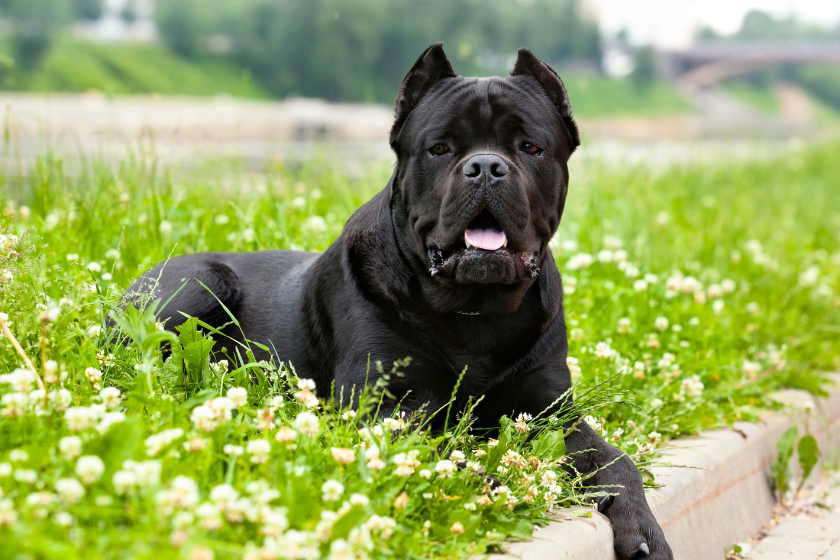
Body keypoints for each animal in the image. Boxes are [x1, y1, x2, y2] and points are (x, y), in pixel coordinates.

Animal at [124, 44, 672, 560]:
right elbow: (432, 448)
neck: (475, 312)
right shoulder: (383, 404)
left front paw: (644, 529)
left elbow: (614, 458)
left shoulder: (551, 411)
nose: (486, 166)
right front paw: (480, 484)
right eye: (439, 148)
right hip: (201, 282)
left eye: (530, 147)